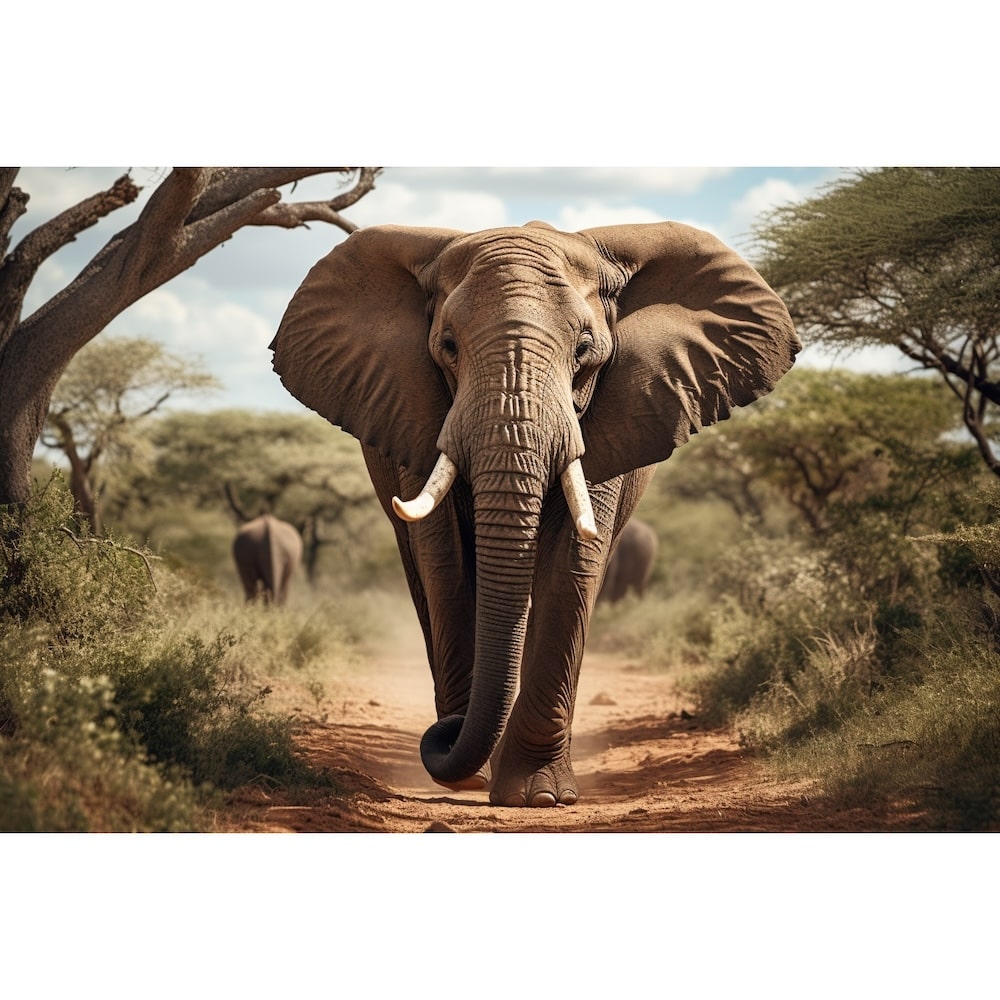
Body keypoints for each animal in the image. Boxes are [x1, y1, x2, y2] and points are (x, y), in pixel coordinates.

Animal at [269, 220, 799, 807]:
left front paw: (539, 795)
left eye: (585, 350)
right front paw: (473, 777)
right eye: (447, 347)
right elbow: (446, 562)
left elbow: (573, 562)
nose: (443, 736)